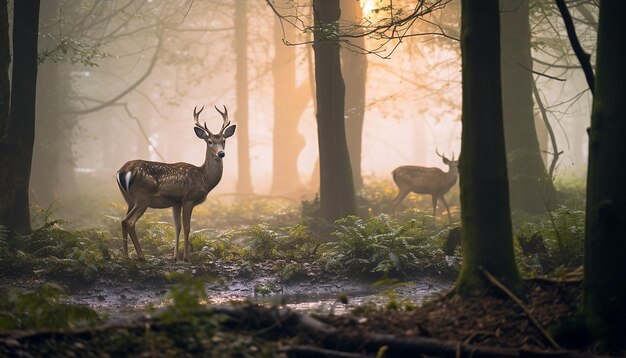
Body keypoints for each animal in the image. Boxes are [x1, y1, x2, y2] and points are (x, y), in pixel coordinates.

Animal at [116, 105, 235, 262]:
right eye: (209, 141)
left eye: (224, 140)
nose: (221, 153)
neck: (204, 178)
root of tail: (122, 171)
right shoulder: (188, 199)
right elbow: (187, 227)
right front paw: (186, 258)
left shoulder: (176, 202)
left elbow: (177, 227)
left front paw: (175, 257)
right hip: (142, 197)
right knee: (129, 222)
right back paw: (141, 257)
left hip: (129, 199)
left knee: (123, 221)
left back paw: (125, 256)